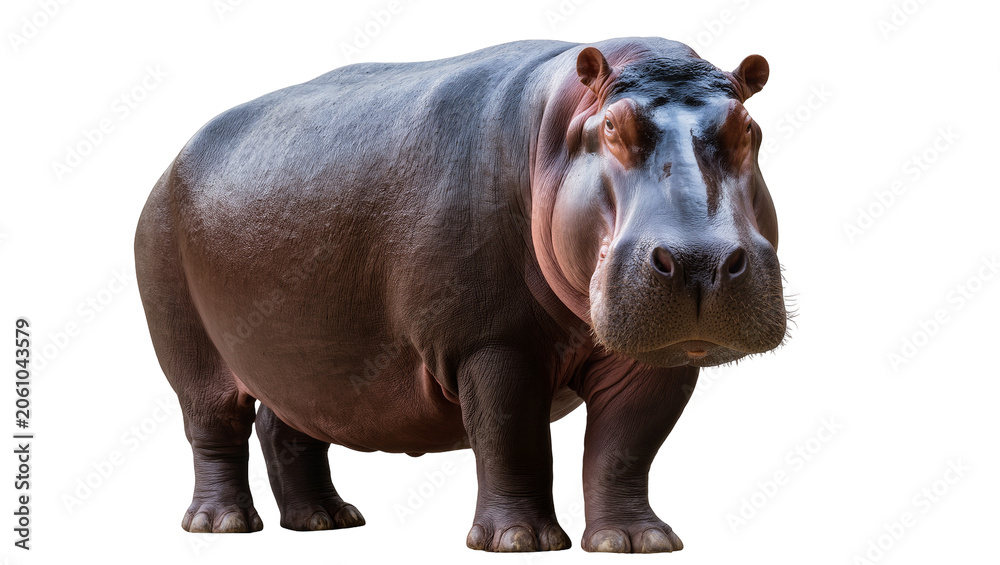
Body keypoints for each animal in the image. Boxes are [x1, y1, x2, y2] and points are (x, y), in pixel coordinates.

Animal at [134, 36, 786, 553]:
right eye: (611, 129)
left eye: (750, 130)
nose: (701, 261)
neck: (560, 126)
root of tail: (171, 162)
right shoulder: (493, 344)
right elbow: (511, 437)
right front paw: (520, 542)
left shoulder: (655, 358)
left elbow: (626, 446)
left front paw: (637, 541)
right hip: (191, 349)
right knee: (214, 430)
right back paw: (221, 526)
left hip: (303, 362)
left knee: (289, 428)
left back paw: (325, 521)